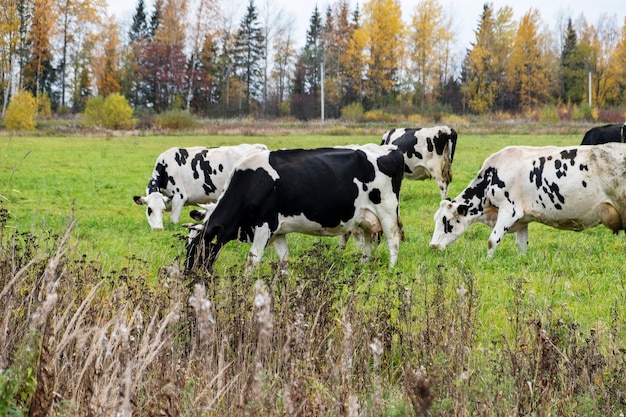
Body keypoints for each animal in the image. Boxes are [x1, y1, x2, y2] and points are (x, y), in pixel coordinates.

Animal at [133, 144, 266, 229]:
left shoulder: (179, 197)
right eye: (149, 210)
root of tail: (260, 147)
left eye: (161, 209)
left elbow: (173, 220)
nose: (158, 229)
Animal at [183, 145, 402, 272]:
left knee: (393, 240)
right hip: (366, 217)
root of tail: (390, 149)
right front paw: (283, 281)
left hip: (387, 210)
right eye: (187, 245)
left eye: (199, 246)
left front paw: (245, 284)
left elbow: (253, 258)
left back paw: (391, 270)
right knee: (368, 243)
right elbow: (283, 259)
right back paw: (362, 266)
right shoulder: (278, 231)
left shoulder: (265, 225)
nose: (187, 272)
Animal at [428, 145, 626, 258]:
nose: (432, 246)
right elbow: (521, 244)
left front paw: (487, 261)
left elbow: (492, 240)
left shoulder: (509, 210)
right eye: (436, 220)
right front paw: (522, 261)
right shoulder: (523, 217)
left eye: (447, 222)